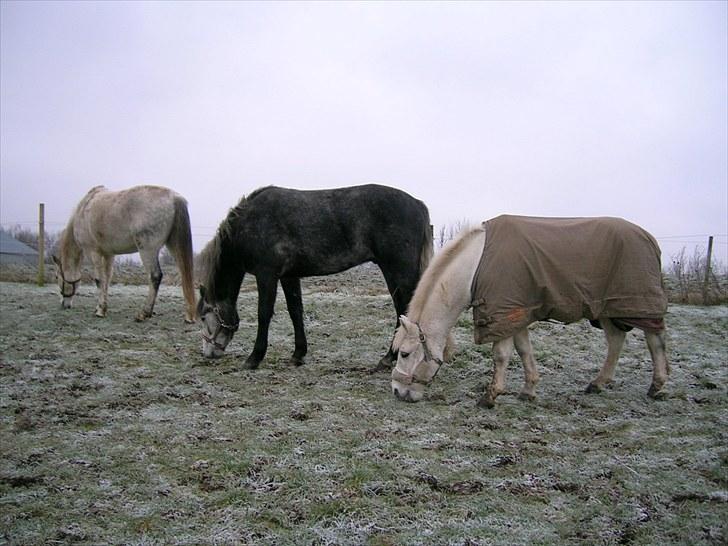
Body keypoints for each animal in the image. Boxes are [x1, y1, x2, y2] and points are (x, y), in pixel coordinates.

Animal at [52, 185, 198, 320]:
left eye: (57, 277)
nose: (64, 304)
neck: (83, 209)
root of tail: (174, 198)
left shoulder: (93, 252)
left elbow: (99, 279)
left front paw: (100, 310)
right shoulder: (109, 255)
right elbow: (107, 279)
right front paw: (102, 307)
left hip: (147, 250)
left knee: (155, 276)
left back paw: (144, 313)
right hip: (173, 246)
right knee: (184, 274)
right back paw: (189, 314)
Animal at [196, 185, 432, 368]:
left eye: (203, 317)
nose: (208, 353)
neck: (250, 222)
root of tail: (418, 204)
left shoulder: (266, 275)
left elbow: (264, 314)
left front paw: (254, 358)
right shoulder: (289, 276)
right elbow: (295, 312)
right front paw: (298, 354)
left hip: (397, 270)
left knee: (403, 311)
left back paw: (389, 358)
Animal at [392, 215, 672, 406]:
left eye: (404, 353)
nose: (396, 390)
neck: (475, 267)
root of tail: (648, 238)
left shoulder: (503, 314)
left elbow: (501, 355)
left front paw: (491, 396)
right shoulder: (515, 315)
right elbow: (524, 350)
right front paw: (529, 390)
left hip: (638, 305)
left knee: (654, 340)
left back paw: (657, 385)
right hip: (606, 309)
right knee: (616, 341)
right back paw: (598, 383)